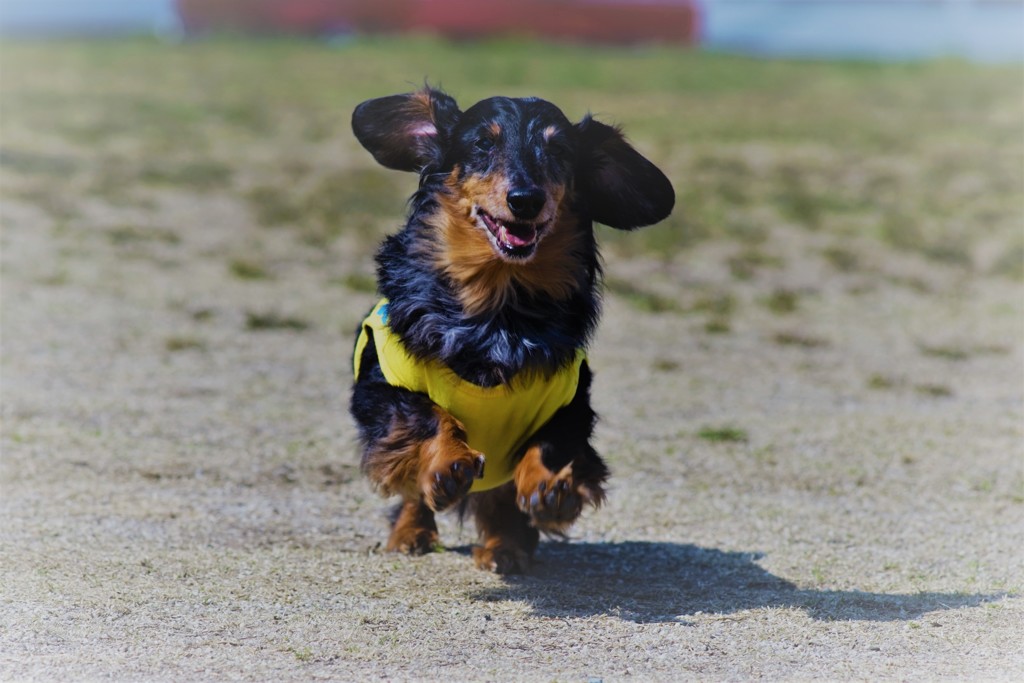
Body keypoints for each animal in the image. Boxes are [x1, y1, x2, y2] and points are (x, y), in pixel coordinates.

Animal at [348, 87, 675, 577]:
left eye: (559, 151)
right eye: (483, 143)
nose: (525, 199)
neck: (498, 306)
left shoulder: (570, 400)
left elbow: (551, 444)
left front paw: (550, 490)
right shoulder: (382, 386)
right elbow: (428, 416)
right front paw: (449, 465)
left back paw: (505, 546)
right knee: (412, 492)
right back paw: (411, 531)